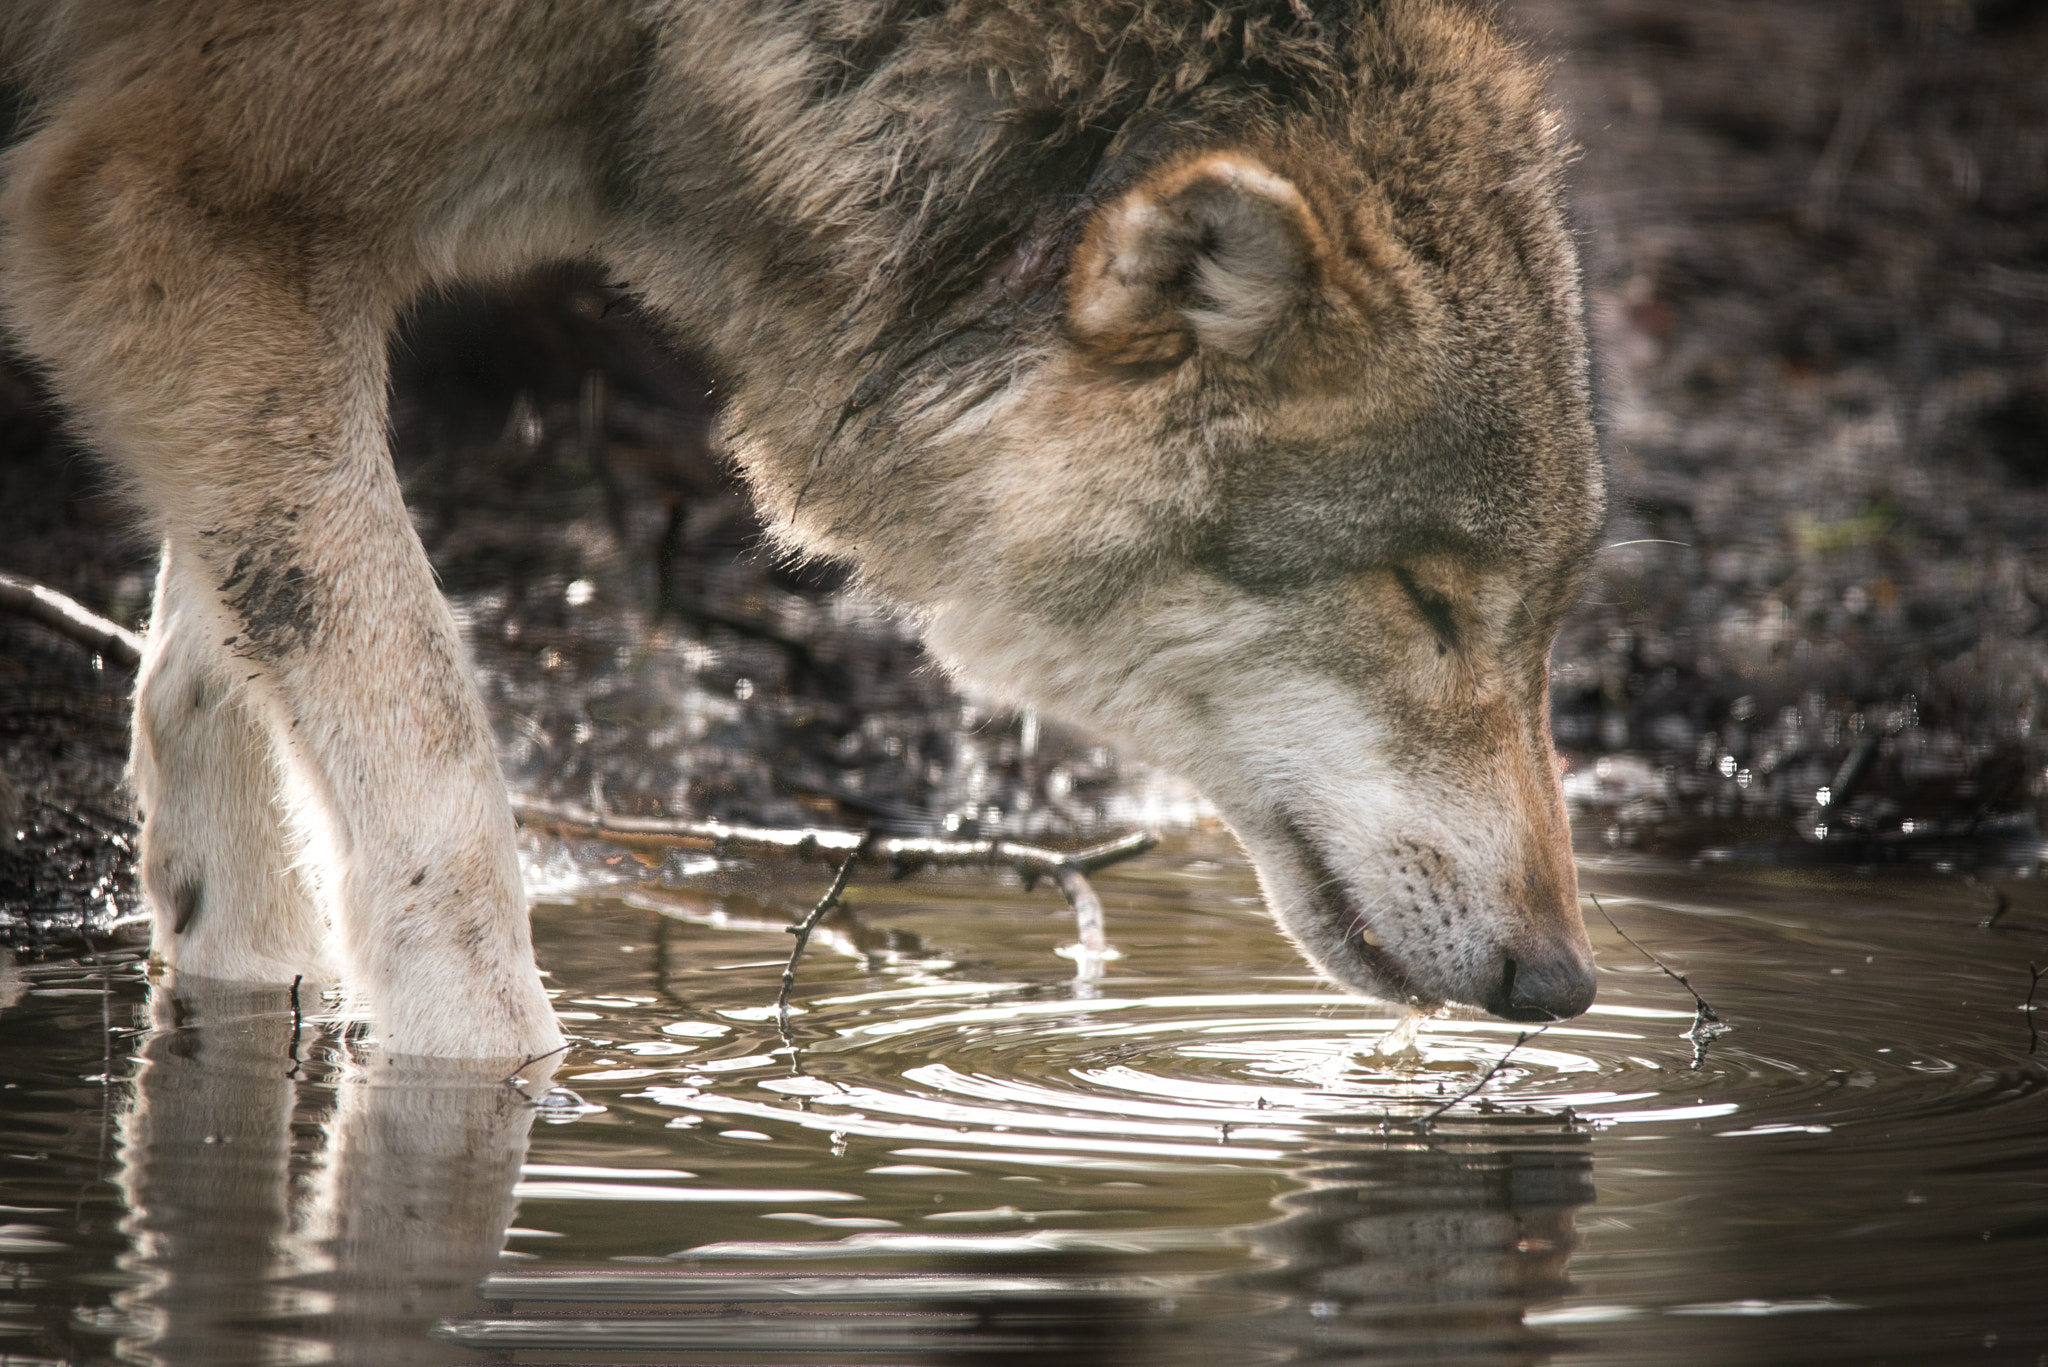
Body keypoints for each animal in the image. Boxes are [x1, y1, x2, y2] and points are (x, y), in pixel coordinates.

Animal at [0, 0, 1597, 1057]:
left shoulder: (215, 260)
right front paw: (503, 1097)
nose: (1566, 984)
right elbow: (434, 779)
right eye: (1425, 599)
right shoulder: (172, 211)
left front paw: (228, 982)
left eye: (1545, 621)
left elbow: (208, 682)